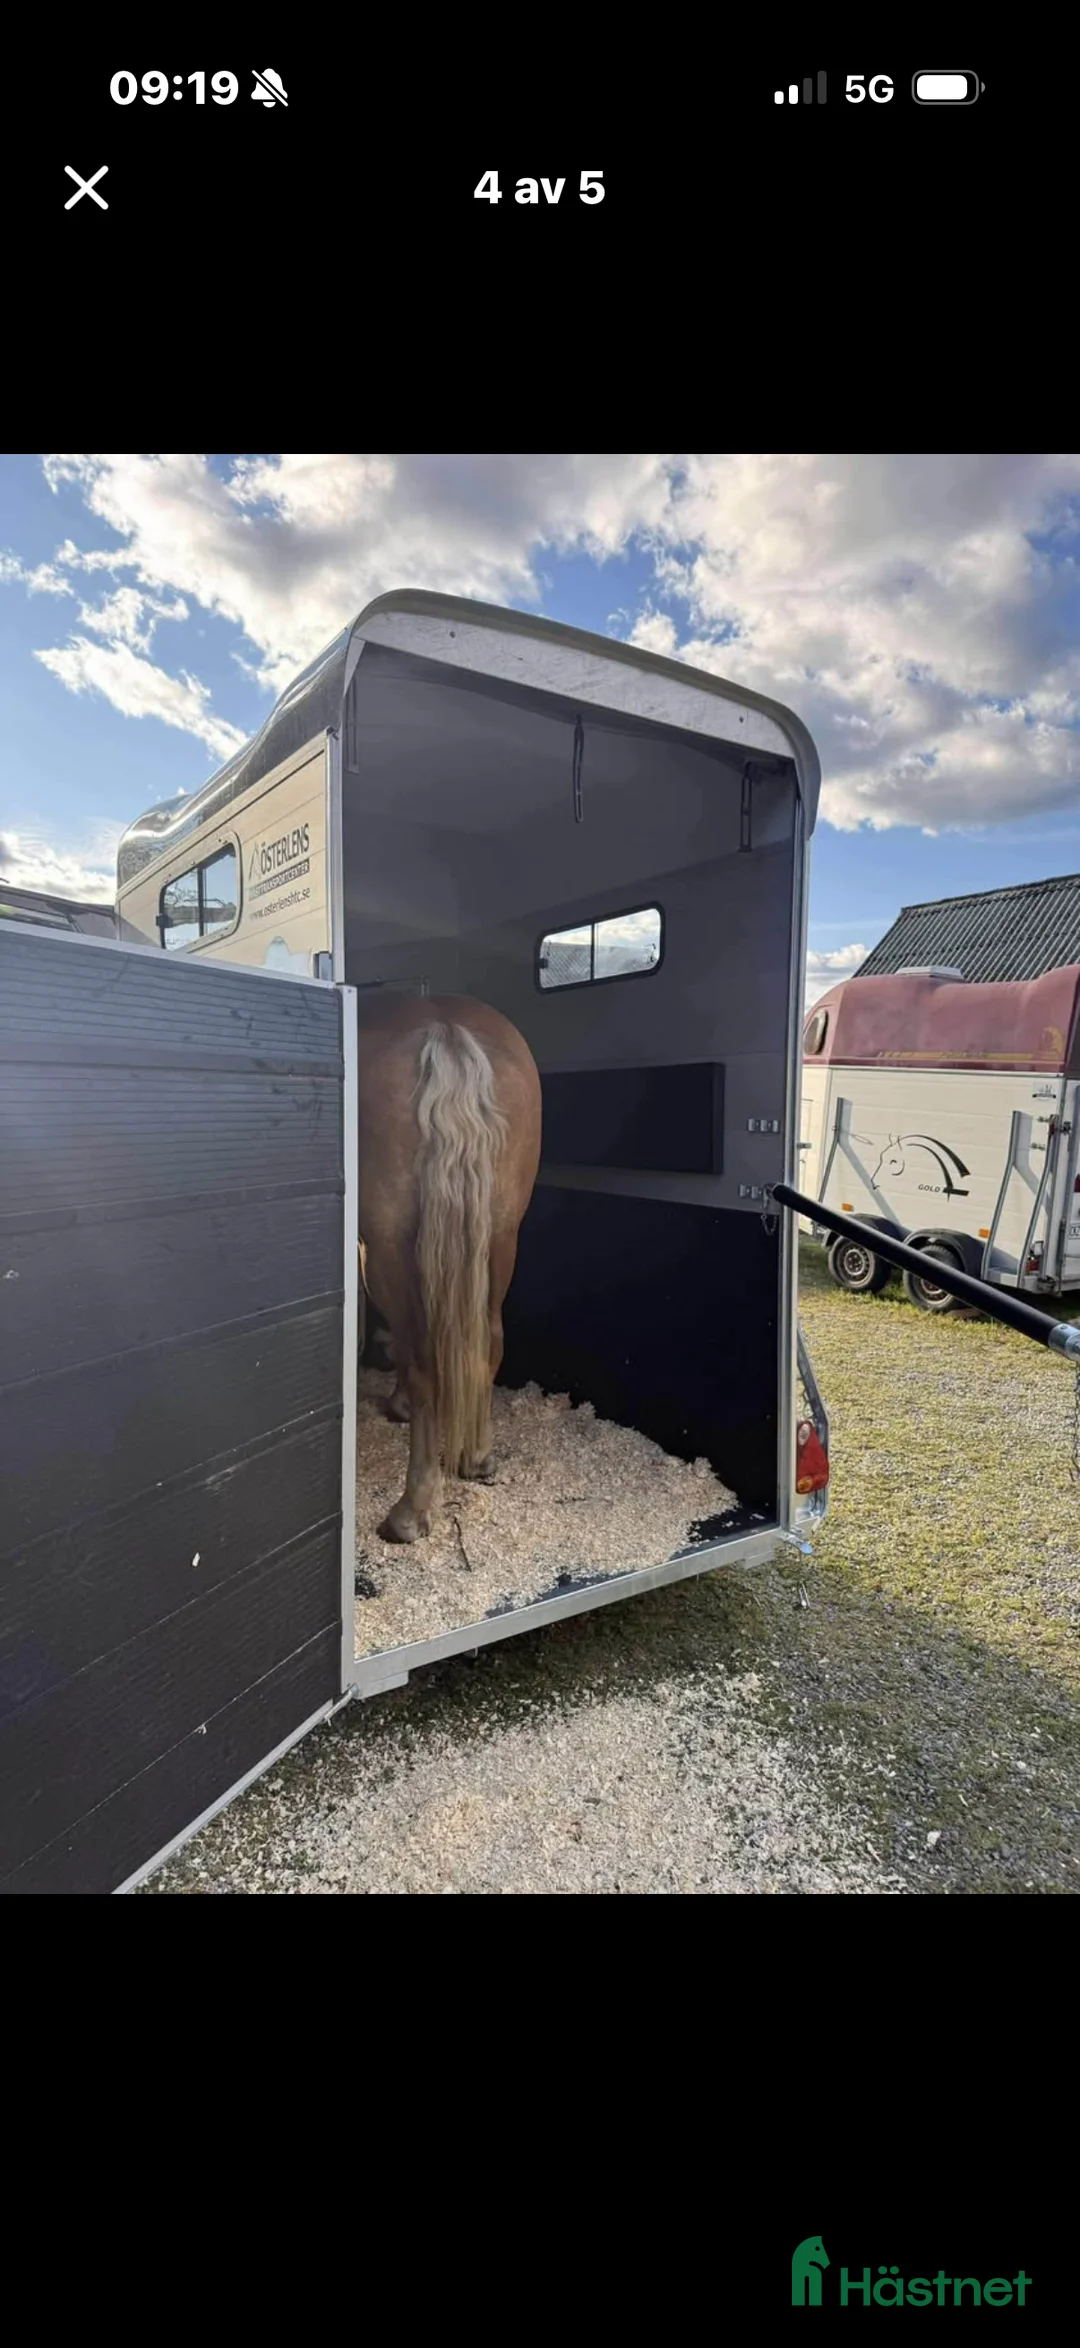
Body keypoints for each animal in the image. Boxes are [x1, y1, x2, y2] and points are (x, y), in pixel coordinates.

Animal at [356, 994, 542, 1544]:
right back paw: (478, 1457)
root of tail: (445, 1027)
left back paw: (410, 1510)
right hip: (501, 1236)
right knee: (490, 1337)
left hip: (393, 1245)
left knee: (420, 1358)